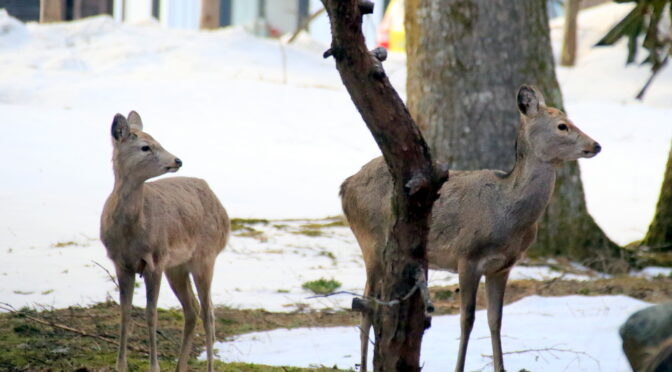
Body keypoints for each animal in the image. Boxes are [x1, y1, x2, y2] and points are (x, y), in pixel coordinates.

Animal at [100, 111, 230, 372]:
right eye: (145, 146)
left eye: (157, 141)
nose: (177, 160)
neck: (131, 232)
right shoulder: (121, 262)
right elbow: (125, 312)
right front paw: (121, 366)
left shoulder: (156, 260)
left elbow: (151, 314)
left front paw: (154, 367)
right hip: (177, 267)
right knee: (192, 309)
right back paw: (180, 367)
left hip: (205, 257)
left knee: (208, 312)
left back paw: (209, 367)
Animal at [342, 85, 604, 370]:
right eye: (562, 126)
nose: (596, 145)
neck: (508, 213)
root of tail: (345, 185)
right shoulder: (467, 256)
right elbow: (466, 320)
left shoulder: (503, 266)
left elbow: (495, 320)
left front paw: (501, 367)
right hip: (371, 241)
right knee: (366, 303)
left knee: (366, 301)